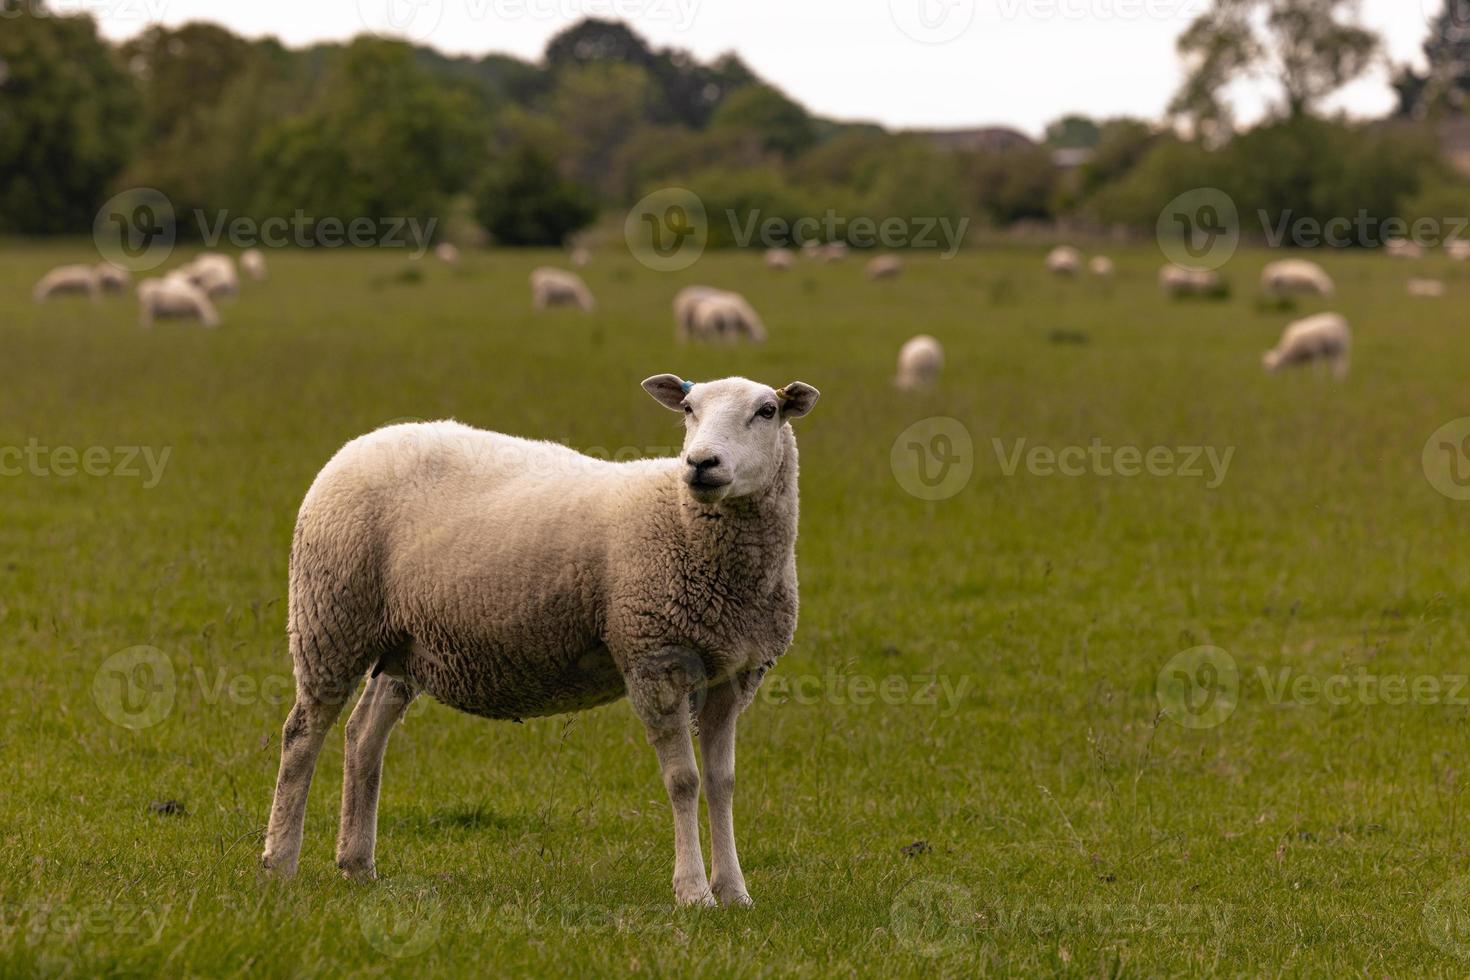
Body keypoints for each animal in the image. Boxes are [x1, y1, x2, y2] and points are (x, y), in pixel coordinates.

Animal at [258, 376, 823, 910]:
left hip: (405, 643)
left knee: (364, 734)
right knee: (302, 734)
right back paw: (280, 862)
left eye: (766, 411)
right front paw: (693, 893)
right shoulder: (653, 660)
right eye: (688, 409)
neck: (686, 525)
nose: (702, 463)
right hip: (332, 615)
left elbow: (723, 783)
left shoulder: (735, 674)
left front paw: (734, 892)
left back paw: (356, 864)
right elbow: (684, 780)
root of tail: (359, 444)